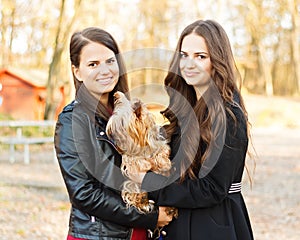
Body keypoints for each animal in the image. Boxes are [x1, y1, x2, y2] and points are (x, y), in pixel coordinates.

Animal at [106, 91, 178, 219]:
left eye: (121, 123)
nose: (111, 134)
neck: (143, 144)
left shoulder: (159, 144)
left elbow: (162, 151)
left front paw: (164, 163)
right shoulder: (129, 159)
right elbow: (136, 161)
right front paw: (146, 164)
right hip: (132, 186)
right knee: (135, 195)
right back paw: (143, 202)